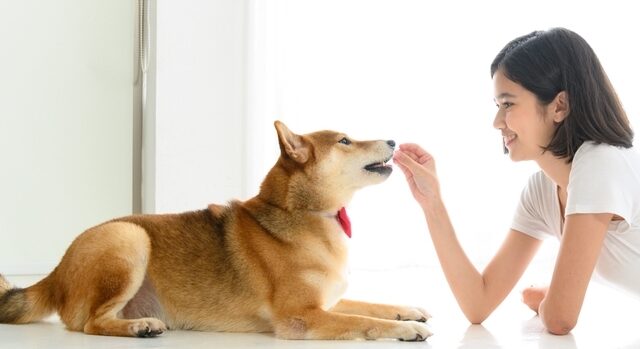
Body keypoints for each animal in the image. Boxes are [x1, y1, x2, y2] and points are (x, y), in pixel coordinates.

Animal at [0, 120, 432, 340]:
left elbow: (369, 305)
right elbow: (362, 321)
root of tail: (56, 271)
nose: (393, 139)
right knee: (90, 323)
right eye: (345, 140)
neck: (302, 212)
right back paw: (140, 327)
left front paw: (407, 309)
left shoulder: (326, 301)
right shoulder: (302, 317)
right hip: (128, 238)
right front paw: (406, 328)